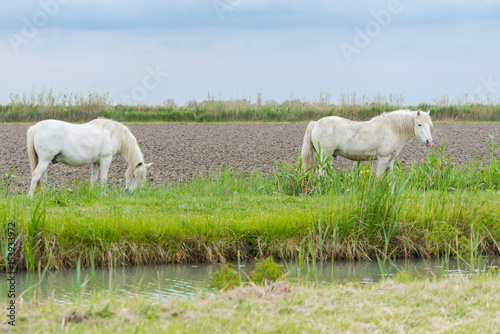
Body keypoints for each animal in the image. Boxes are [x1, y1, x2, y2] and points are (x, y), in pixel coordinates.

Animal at [300, 109, 434, 177]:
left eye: (430, 125)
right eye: (419, 124)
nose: (429, 142)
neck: (391, 128)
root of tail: (316, 123)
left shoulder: (390, 160)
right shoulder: (383, 159)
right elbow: (379, 176)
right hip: (325, 155)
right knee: (321, 172)